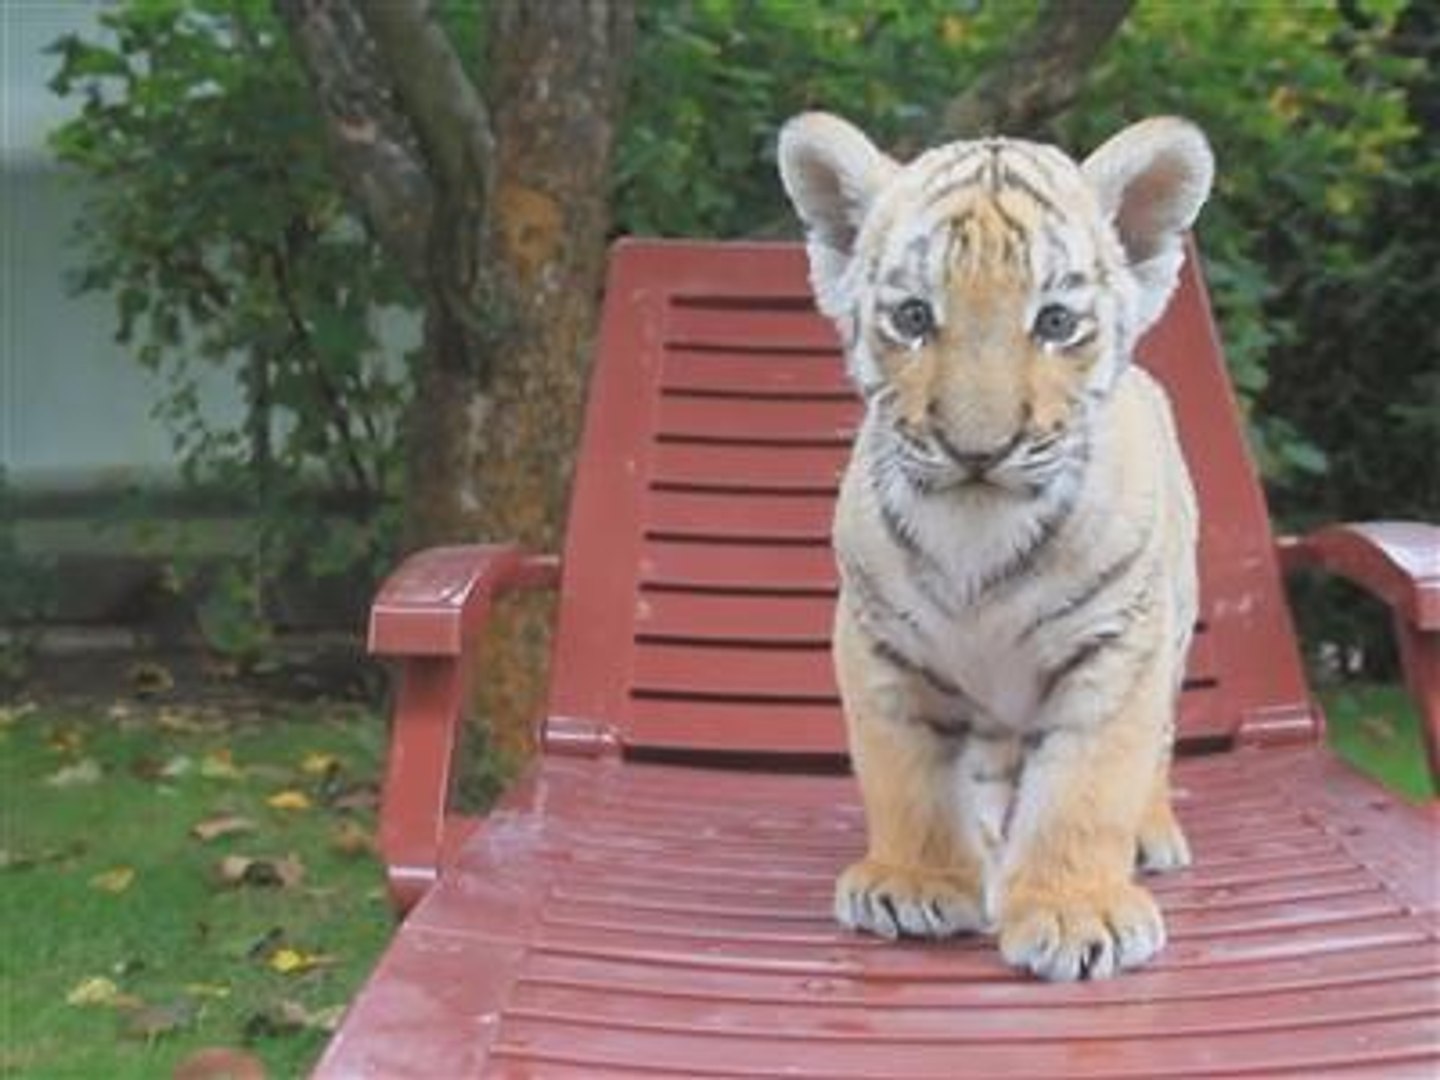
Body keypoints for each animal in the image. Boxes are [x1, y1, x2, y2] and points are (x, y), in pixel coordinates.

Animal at [776, 112, 1213, 981]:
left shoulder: (1118, 646)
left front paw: (1079, 915)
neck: (976, 534)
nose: (978, 450)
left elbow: (1087, 786)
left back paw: (1147, 834)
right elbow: (907, 772)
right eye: (914, 318)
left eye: (1055, 323)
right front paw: (914, 884)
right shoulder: (881, 644)